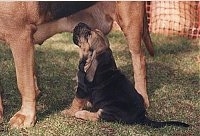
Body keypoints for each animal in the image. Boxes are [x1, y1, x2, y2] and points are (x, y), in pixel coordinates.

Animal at [0, 1, 153, 128]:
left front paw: (25, 116)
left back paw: (142, 96)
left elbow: (24, 83)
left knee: (139, 60)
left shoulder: (20, 36)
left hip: (130, 24)